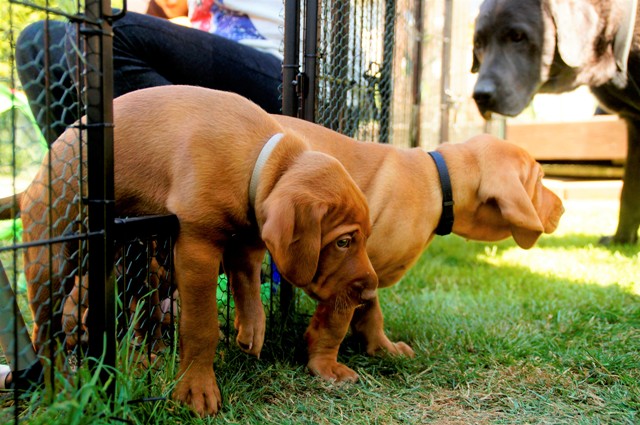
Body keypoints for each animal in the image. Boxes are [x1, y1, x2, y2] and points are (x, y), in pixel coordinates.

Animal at [13, 85, 377, 416]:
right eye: (343, 242)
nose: (370, 292)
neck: (262, 160)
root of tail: (32, 181)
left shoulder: (246, 240)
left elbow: (247, 288)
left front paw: (252, 329)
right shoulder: (197, 244)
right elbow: (202, 327)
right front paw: (196, 392)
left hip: (111, 261)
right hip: (53, 260)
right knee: (46, 331)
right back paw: (62, 388)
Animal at [254, 116, 563, 382]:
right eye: (540, 180)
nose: (563, 207)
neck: (441, 183)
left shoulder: (366, 273)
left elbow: (371, 313)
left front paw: (382, 348)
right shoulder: (345, 270)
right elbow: (336, 322)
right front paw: (325, 365)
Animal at [471, 0, 640, 245]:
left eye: (517, 36)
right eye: (478, 43)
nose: (481, 95)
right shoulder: (634, 125)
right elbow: (629, 192)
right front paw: (621, 240)